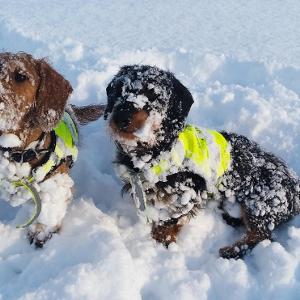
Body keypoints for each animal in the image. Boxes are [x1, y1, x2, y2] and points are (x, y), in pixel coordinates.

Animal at [105, 65, 300, 258]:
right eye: (118, 91)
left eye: (153, 94)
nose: (121, 118)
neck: (156, 151)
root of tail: (295, 186)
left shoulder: (188, 193)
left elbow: (170, 220)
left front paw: (162, 241)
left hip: (260, 201)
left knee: (262, 235)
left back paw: (231, 250)